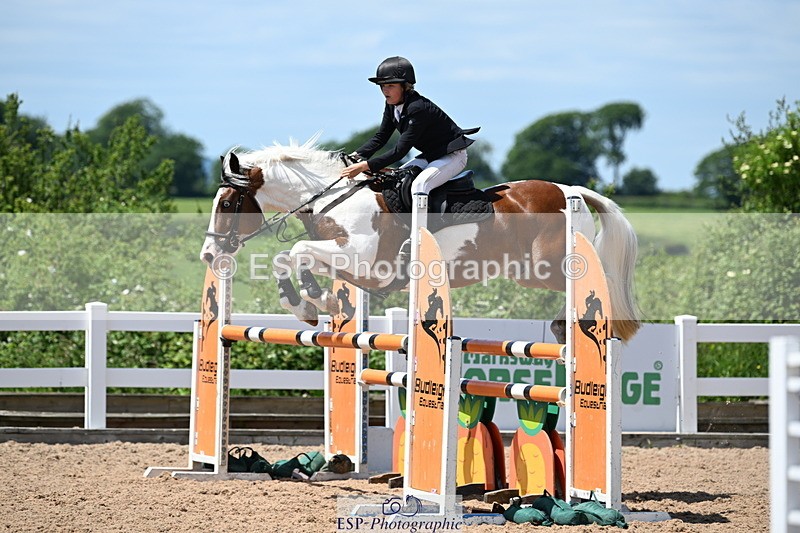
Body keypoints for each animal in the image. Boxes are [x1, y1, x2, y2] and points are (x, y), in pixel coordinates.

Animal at [200, 138, 641, 343]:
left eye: (228, 202)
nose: (208, 253)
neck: (332, 197)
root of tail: (571, 190)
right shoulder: (350, 263)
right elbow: (293, 258)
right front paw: (313, 304)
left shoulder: (365, 261)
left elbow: (294, 251)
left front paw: (310, 302)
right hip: (529, 271)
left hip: (544, 268)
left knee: (588, 282)